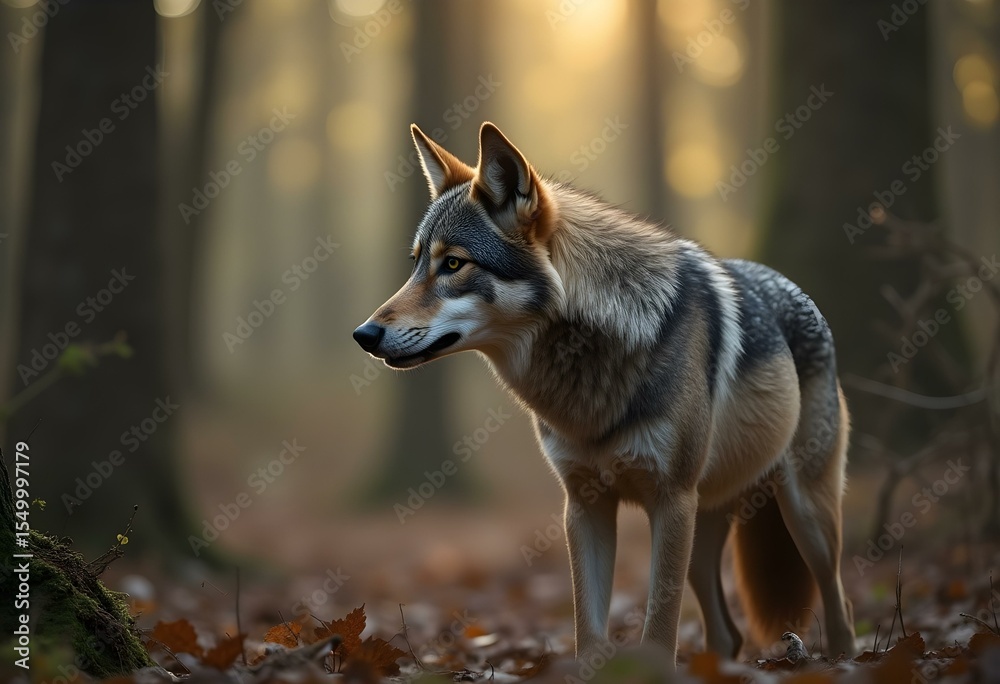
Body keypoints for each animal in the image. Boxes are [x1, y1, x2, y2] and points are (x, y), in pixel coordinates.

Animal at [353, 122, 856, 665]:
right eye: (416, 264)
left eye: (452, 264)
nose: (363, 334)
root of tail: (795, 288)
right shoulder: (584, 505)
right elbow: (588, 632)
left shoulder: (669, 501)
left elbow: (659, 631)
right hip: (703, 535)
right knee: (728, 636)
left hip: (802, 518)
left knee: (840, 607)